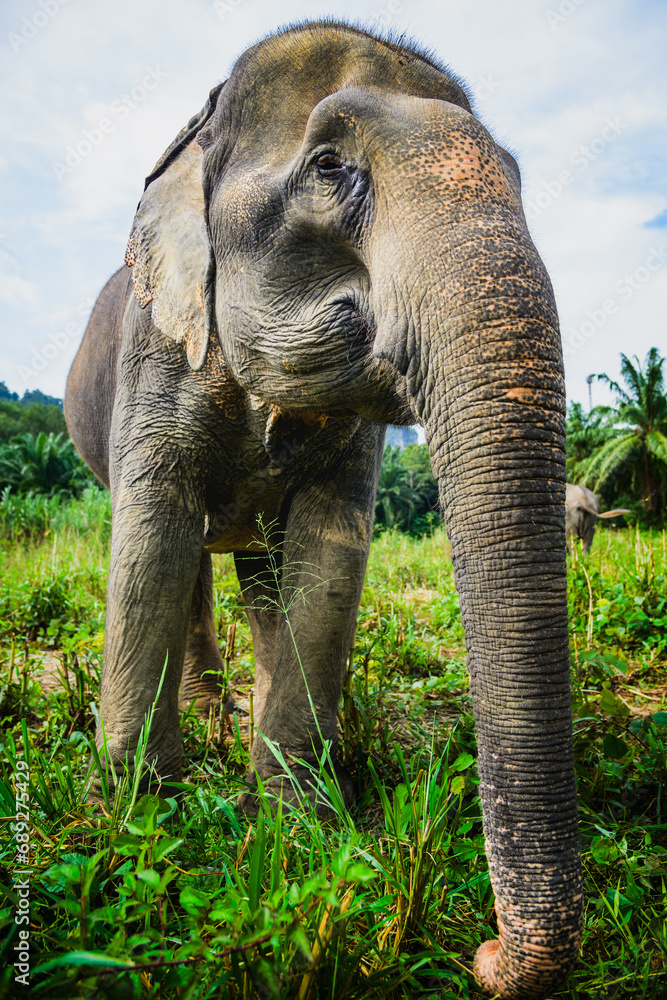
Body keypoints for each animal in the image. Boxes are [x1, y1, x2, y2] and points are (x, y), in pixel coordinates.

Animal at [65, 22, 583, 999]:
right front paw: (138, 819)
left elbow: (329, 556)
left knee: (259, 575)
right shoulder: (157, 349)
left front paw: (294, 822)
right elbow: (150, 540)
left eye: (517, 175)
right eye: (329, 166)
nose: (483, 953)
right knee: (188, 563)